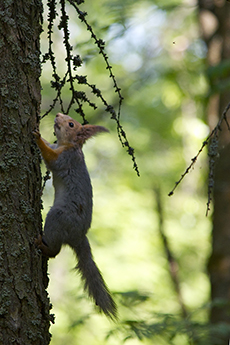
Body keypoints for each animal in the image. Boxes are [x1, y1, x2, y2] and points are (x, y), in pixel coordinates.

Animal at [32, 113, 117, 320]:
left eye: (71, 124)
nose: (57, 115)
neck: (66, 145)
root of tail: (79, 236)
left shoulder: (65, 159)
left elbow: (52, 159)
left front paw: (38, 137)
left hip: (58, 217)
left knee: (55, 251)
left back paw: (43, 246)